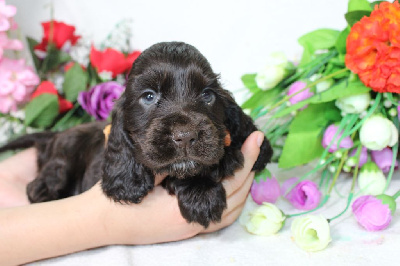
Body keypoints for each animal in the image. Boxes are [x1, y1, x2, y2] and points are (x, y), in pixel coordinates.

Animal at [0, 41, 272, 227]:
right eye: (149, 96)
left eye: (207, 94)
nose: (185, 135)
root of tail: (53, 136)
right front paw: (201, 194)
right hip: (63, 157)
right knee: (40, 185)